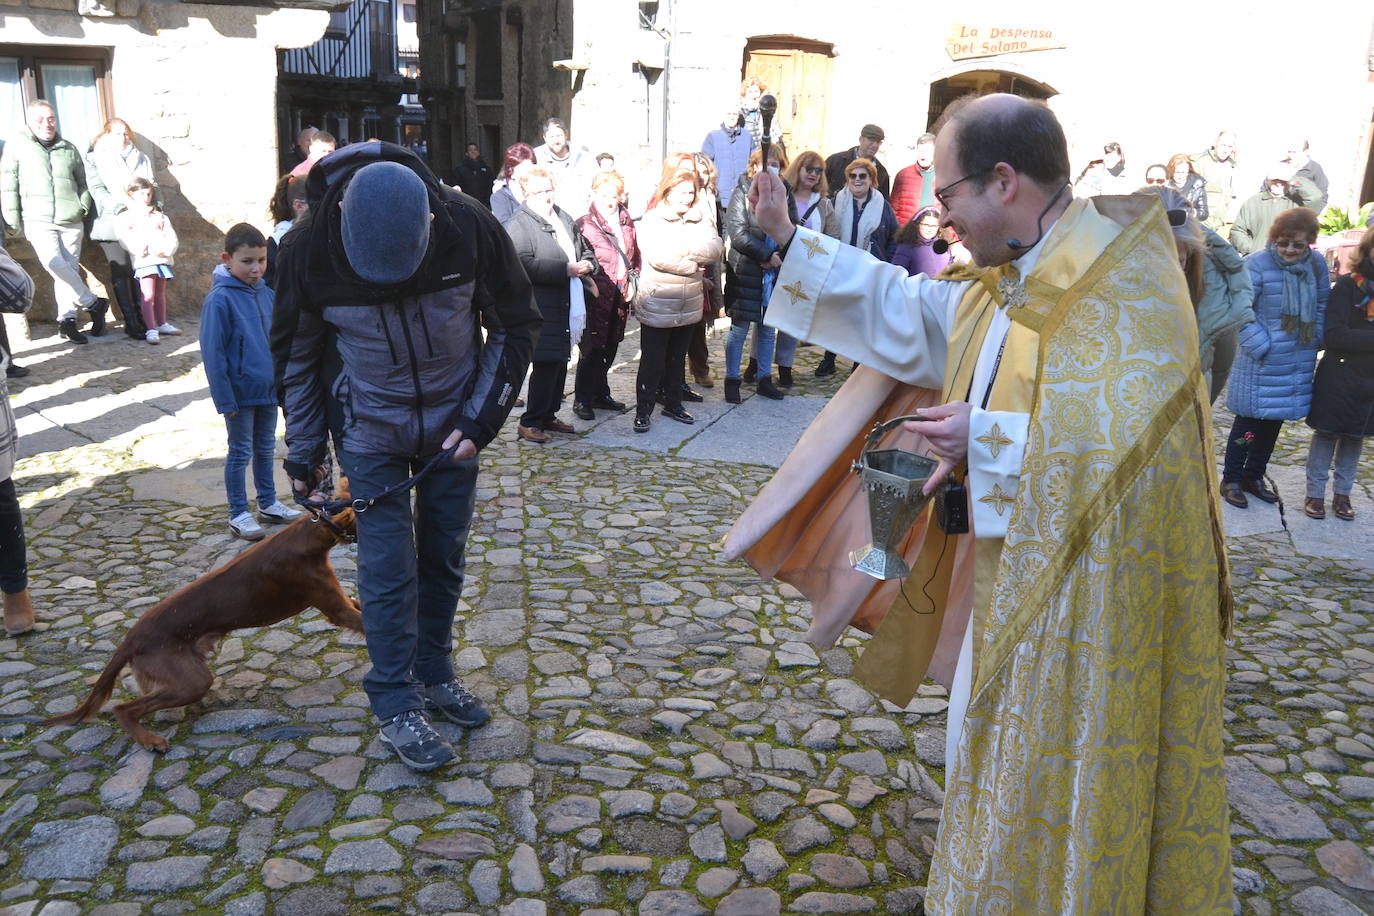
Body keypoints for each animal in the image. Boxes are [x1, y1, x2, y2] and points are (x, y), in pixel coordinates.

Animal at [46, 505, 362, 747]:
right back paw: (150, 740)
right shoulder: (337, 608)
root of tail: (130, 638)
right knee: (122, 708)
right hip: (191, 680)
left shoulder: (345, 601)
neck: (314, 532)